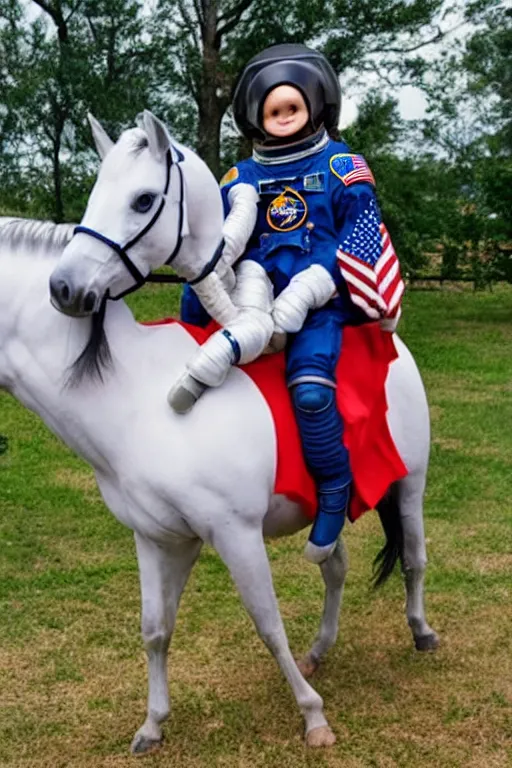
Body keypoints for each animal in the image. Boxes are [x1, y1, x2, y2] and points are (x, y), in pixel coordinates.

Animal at [1, 117, 436, 752]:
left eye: (143, 201)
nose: (64, 290)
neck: (140, 398)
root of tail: (390, 337)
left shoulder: (235, 534)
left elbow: (268, 624)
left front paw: (312, 716)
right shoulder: (159, 540)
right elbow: (155, 629)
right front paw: (153, 724)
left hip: (410, 486)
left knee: (413, 559)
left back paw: (421, 631)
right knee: (332, 564)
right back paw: (321, 648)